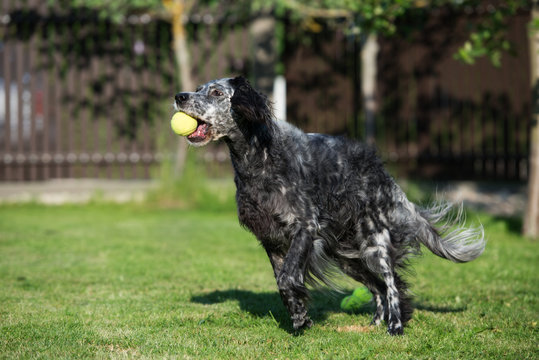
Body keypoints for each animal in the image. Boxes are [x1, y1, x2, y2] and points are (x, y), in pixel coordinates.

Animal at [175, 75, 488, 334]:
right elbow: (282, 283)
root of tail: (384, 174)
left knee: (391, 283)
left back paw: (395, 325)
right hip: (347, 257)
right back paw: (376, 322)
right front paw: (300, 318)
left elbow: (288, 278)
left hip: (375, 243)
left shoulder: (304, 226)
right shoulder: (271, 239)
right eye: (199, 88)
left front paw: (301, 317)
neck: (260, 156)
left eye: (216, 92)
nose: (180, 96)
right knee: (378, 287)